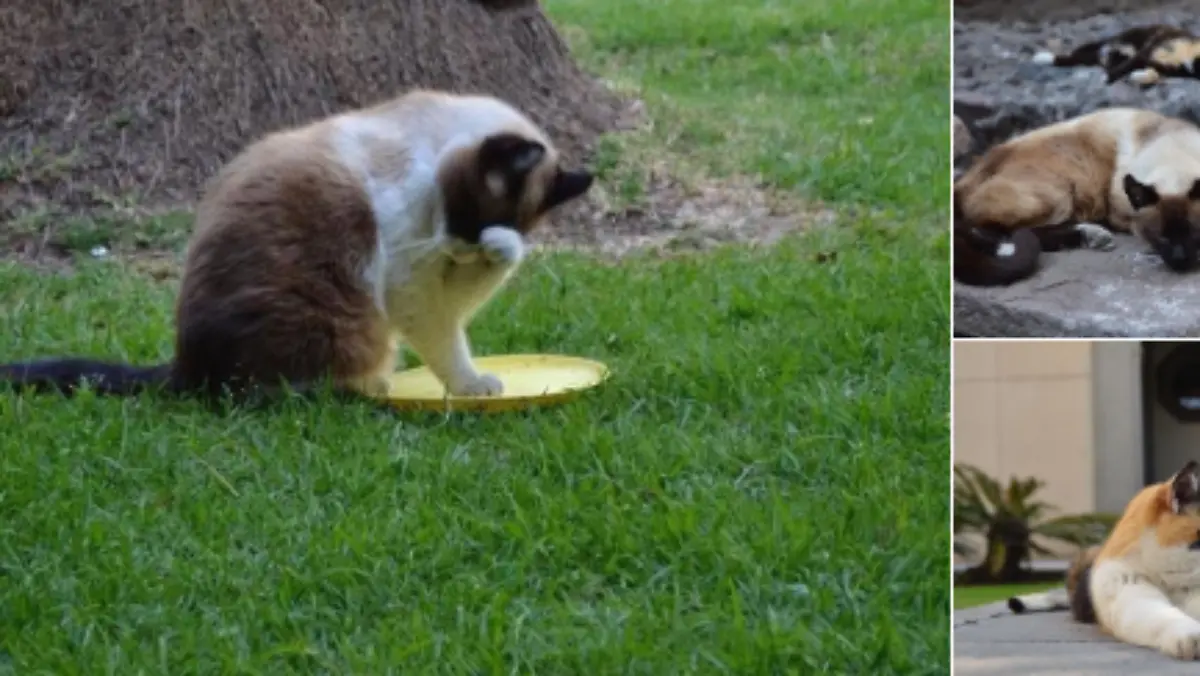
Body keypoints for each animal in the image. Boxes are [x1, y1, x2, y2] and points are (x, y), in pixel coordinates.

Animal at [0, 92, 595, 405]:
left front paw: (504, 250)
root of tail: (186, 364)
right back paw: (367, 390)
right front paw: (475, 387)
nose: (465, 245)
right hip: (352, 326)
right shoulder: (413, 281)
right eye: (466, 216)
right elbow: (448, 342)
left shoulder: (438, 274)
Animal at [955, 106, 1200, 285]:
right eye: (1162, 237)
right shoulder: (1121, 214)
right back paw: (1092, 235)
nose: (1180, 260)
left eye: (1193, 232)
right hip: (1059, 196)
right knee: (1002, 230)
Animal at [1032, 24, 1200, 87]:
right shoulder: (1149, 50)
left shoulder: (1165, 67)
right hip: (1124, 43)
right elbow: (1129, 66)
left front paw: (1139, 77)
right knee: (1076, 56)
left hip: (1118, 53)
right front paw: (1108, 78)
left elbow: (1154, 74)